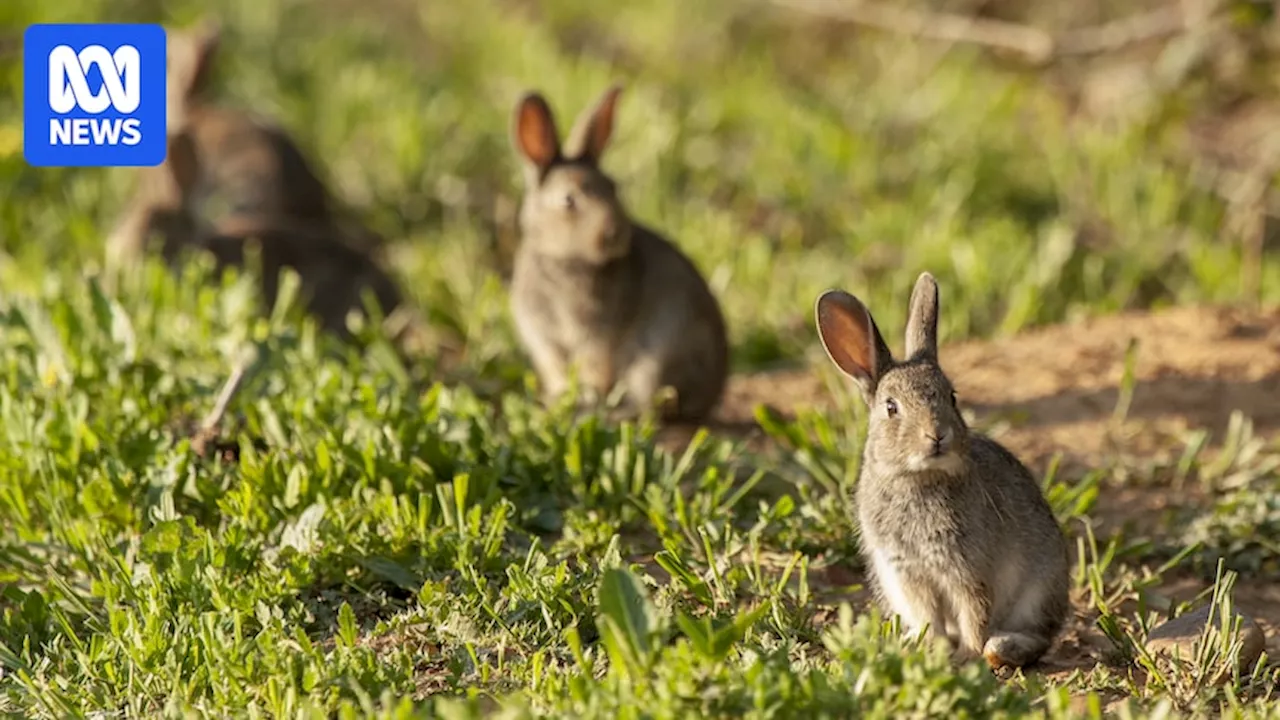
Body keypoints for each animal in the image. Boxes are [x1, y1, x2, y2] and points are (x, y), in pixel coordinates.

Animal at [509, 83, 732, 420]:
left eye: (612, 188)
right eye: (568, 200)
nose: (615, 233)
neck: (564, 260)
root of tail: (710, 395)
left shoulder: (598, 336)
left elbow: (595, 370)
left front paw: (585, 401)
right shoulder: (544, 340)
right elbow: (558, 372)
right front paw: (559, 402)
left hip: (654, 359)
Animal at [814, 270, 1075, 666]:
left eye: (951, 396)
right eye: (891, 407)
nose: (937, 435)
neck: (918, 479)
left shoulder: (966, 570)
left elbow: (974, 613)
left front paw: (968, 655)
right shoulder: (909, 574)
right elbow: (931, 617)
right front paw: (932, 648)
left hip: (1040, 589)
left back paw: (1001, 648)